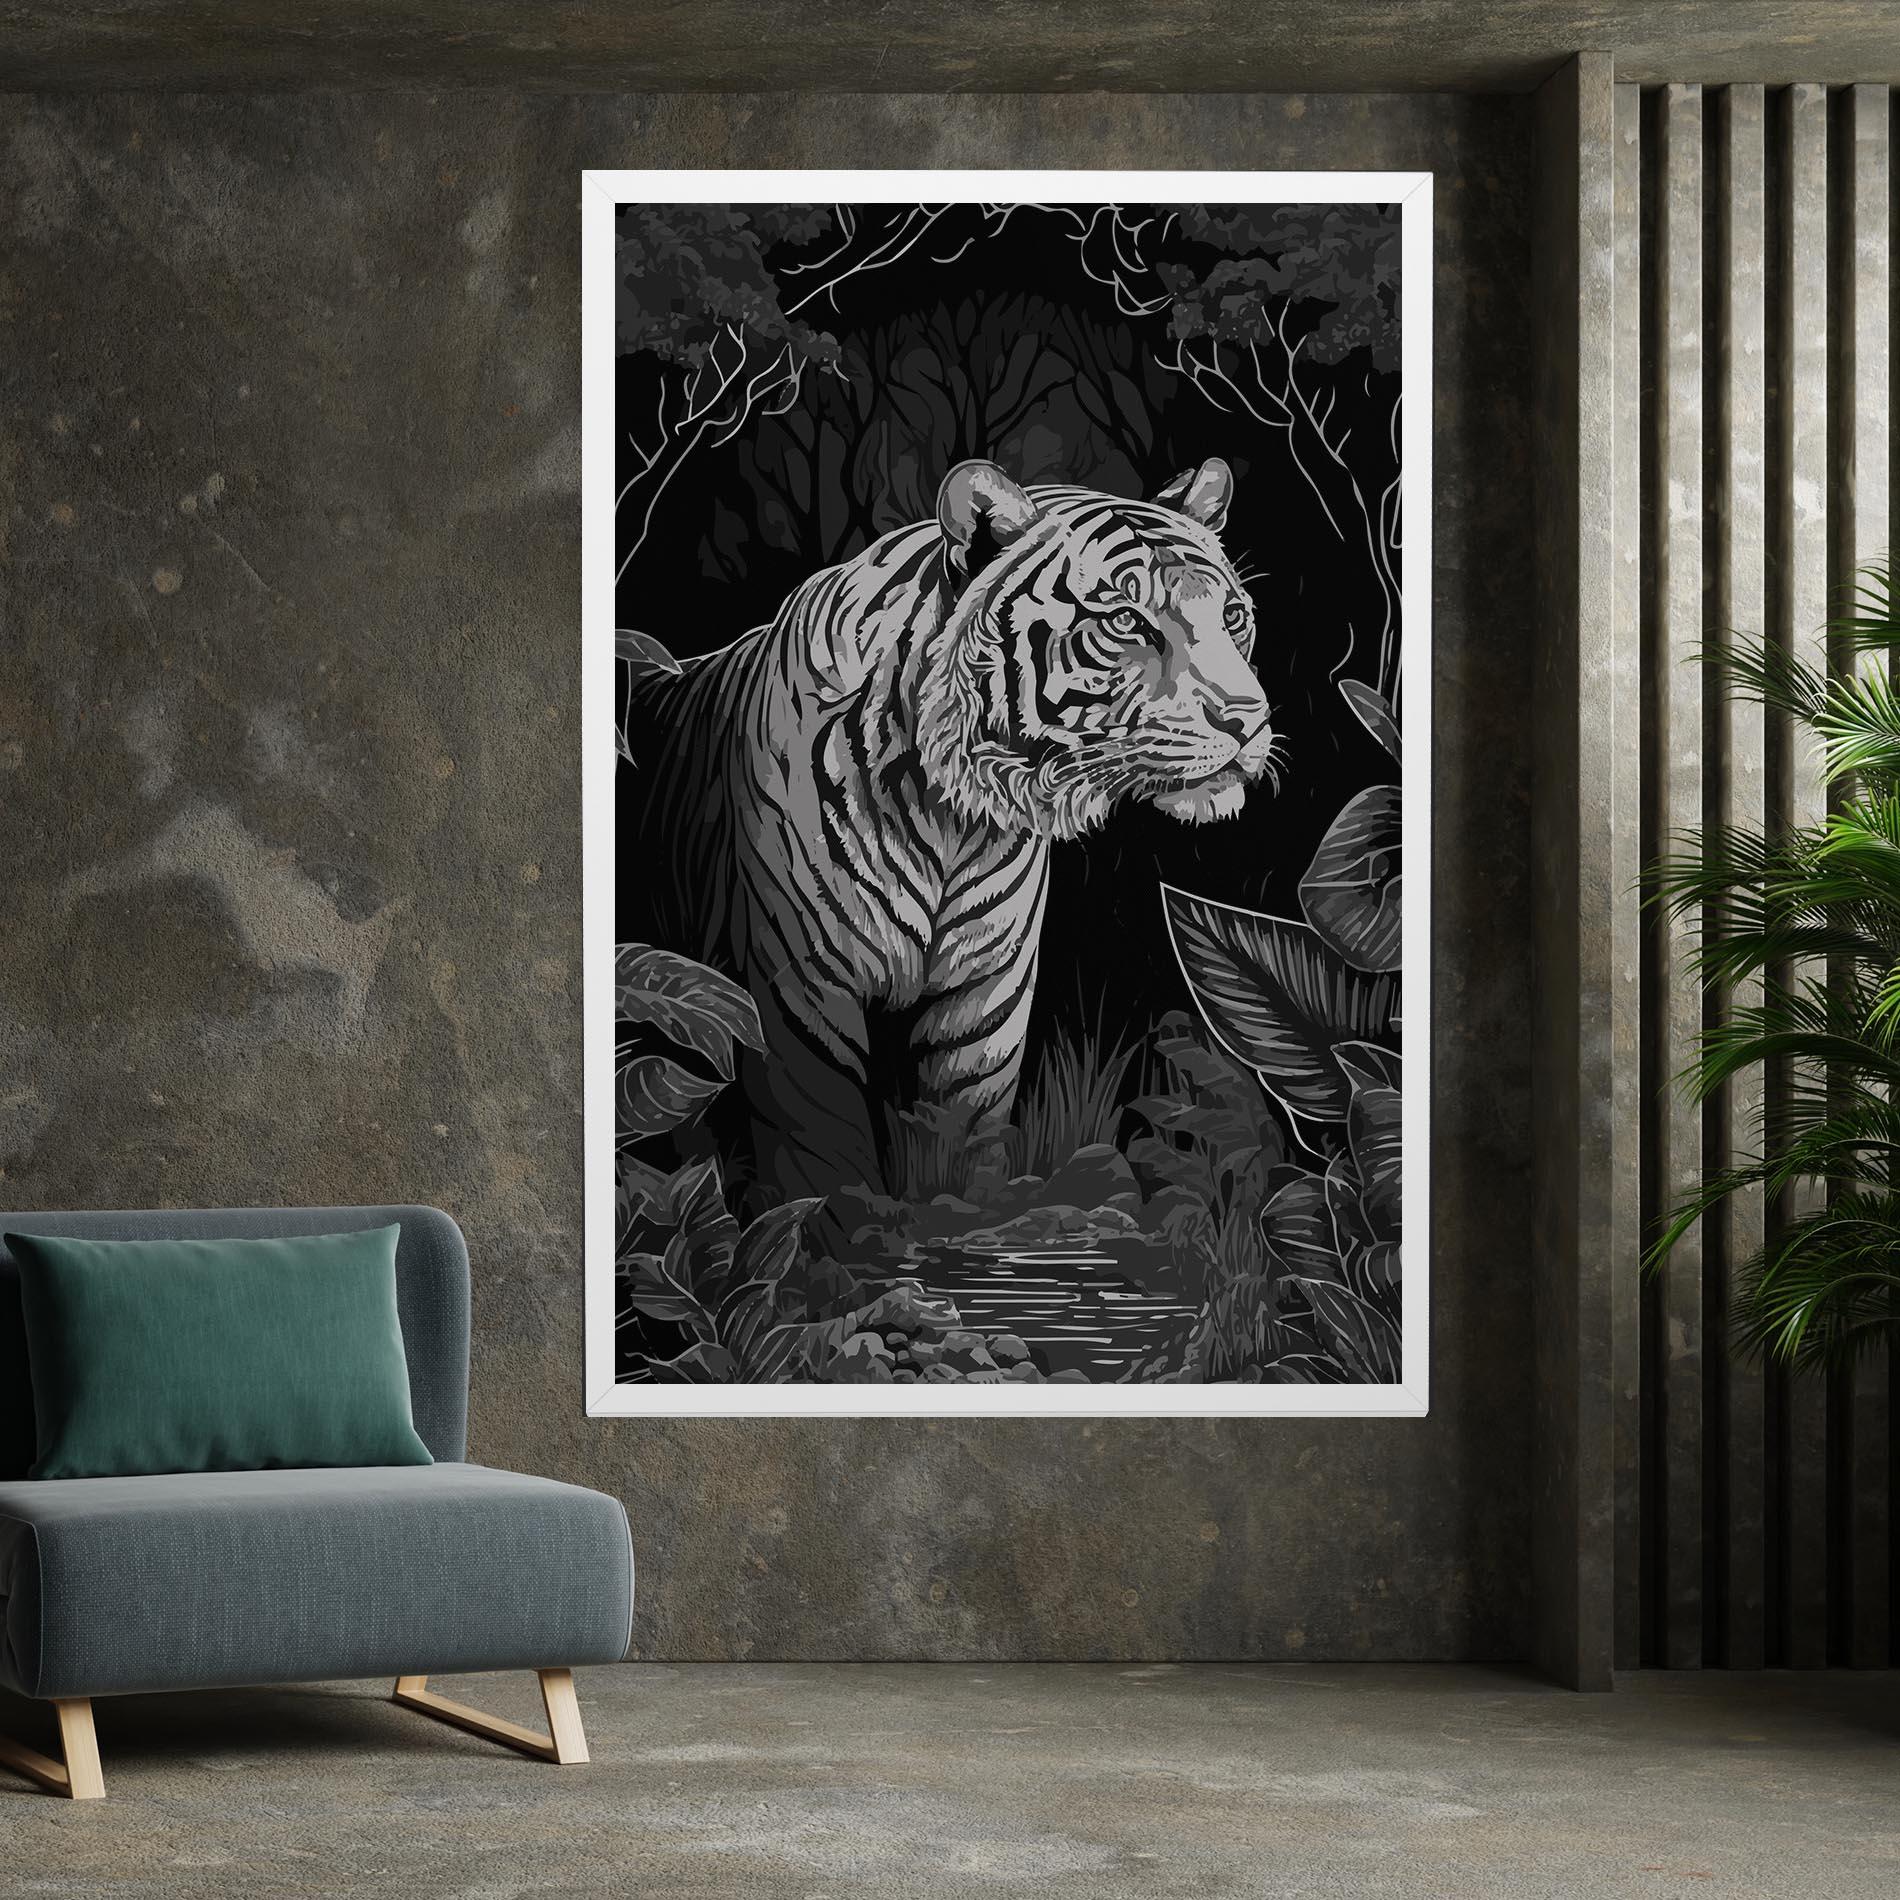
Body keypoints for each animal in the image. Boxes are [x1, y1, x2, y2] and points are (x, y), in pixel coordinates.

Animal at [627, 457, 1277, 1200]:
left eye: (1232, 616)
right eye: (1124, 620)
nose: (1248, 720)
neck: (952, 820)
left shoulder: (983, 1004)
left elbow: (964, 1152)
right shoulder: (798, 1000)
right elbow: (822, 1165)